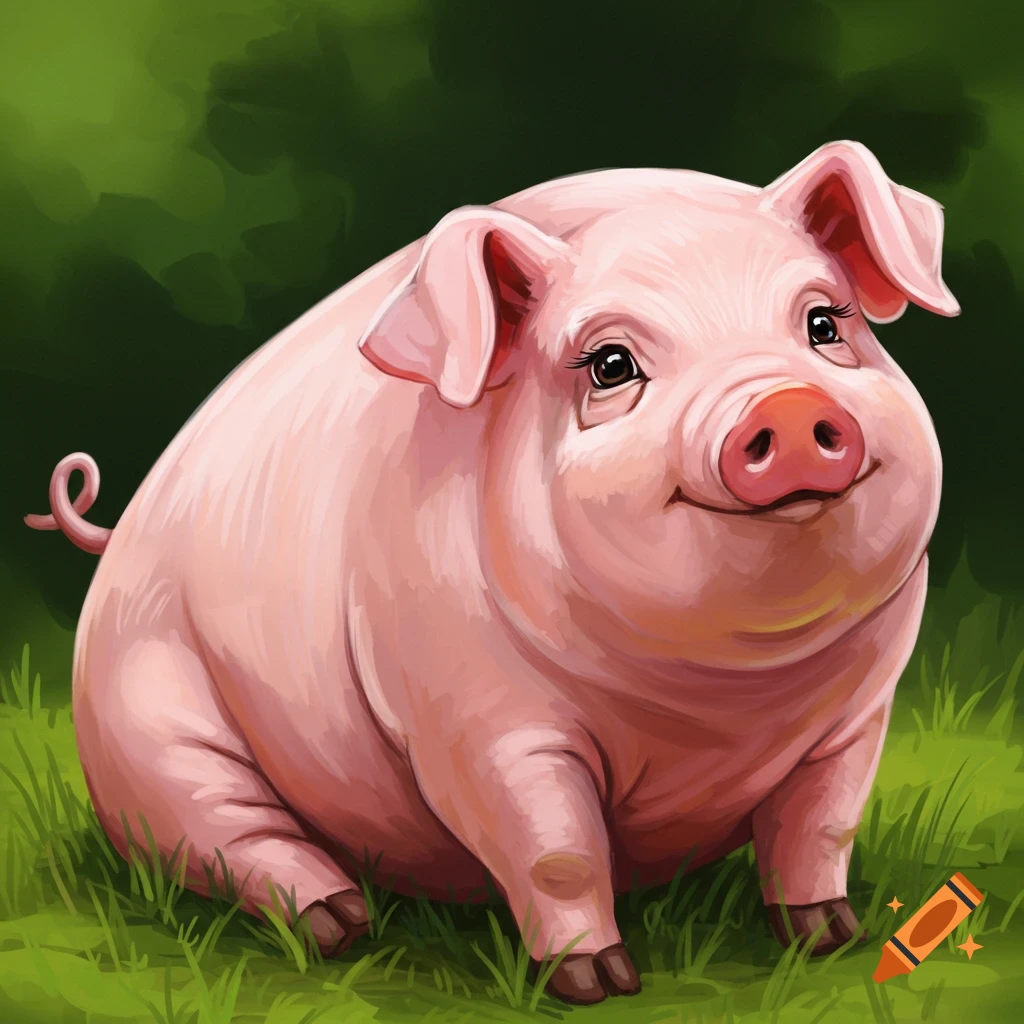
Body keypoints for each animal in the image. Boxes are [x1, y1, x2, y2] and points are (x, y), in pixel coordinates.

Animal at [26, 140, 958, 1005]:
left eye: (825, 326)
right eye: (610, 364)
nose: (787, 407)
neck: (721, 700)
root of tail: (121, 529)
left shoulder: (858, 713)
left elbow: (821, 826)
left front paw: (828, 939)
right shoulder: (481, 725)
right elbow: (557, 852)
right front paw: (596, 985)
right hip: (150, 728)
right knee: (226, 834)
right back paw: (342, 927)